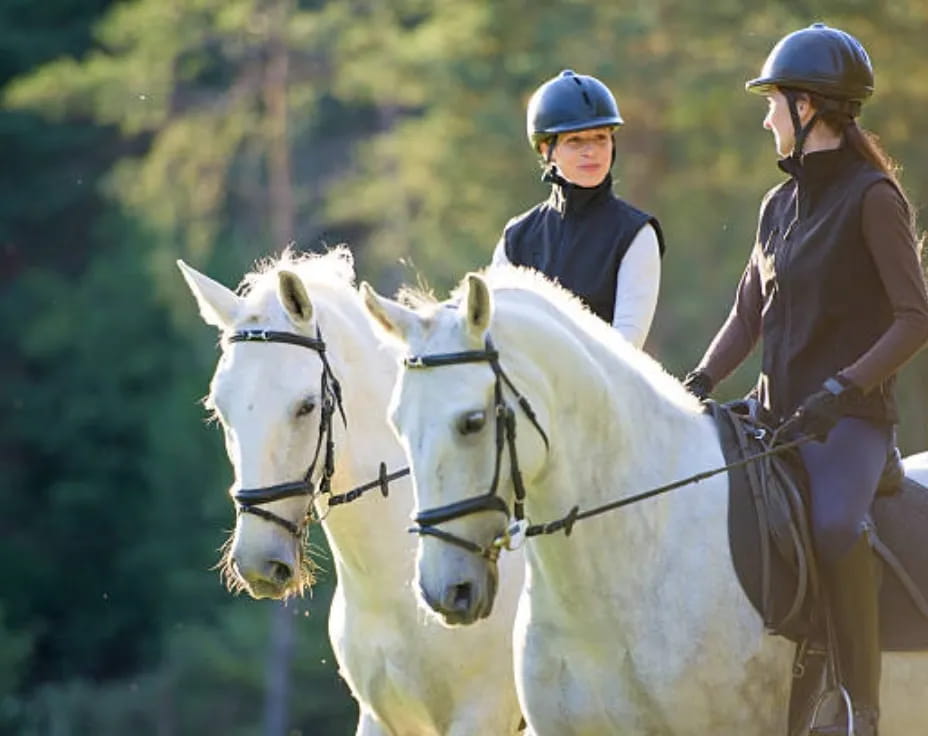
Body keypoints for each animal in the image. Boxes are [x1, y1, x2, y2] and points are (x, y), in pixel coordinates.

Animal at [177, 248, 525, 736]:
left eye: (306, 406)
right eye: (218, 408)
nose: (257, 563)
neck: (393, 585)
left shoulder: (481, 716)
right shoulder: (378, 717)